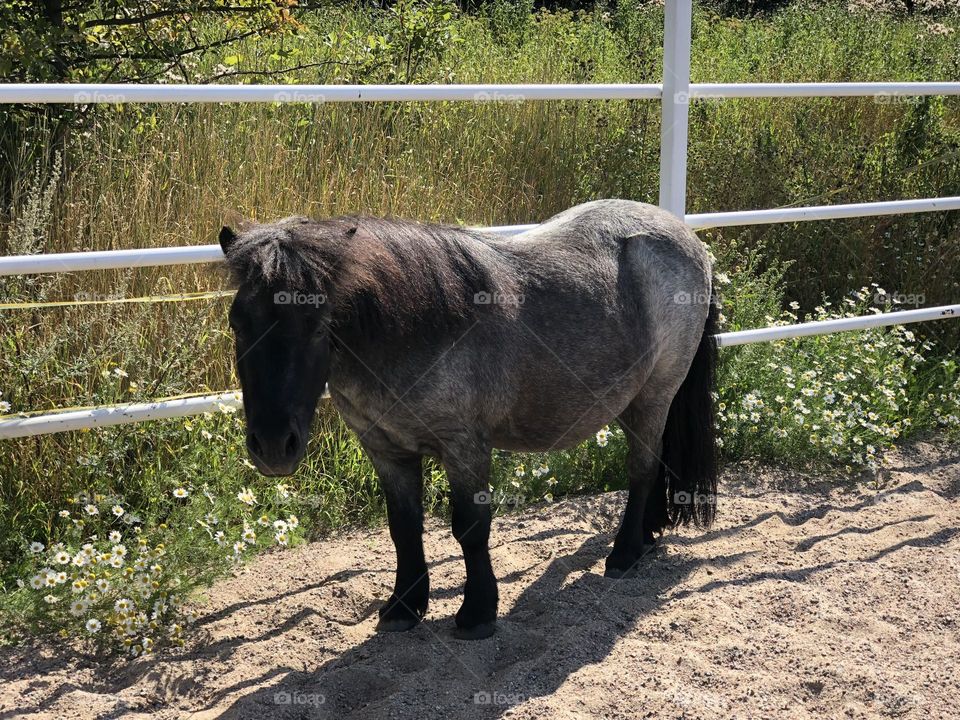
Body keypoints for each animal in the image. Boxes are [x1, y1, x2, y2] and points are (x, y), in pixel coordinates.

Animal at [221, 198, 716, 640]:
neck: (414, 329)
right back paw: (648, 534)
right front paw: (404, 606)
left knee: (642, 468)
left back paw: (625, 553)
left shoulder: (464, 447)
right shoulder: (386, 450)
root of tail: (682, 233)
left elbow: (470, 527)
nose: (272, 446)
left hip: (655, 393)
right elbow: (403, 527)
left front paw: (478, 613)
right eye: (237, 322)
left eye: (320, 324)